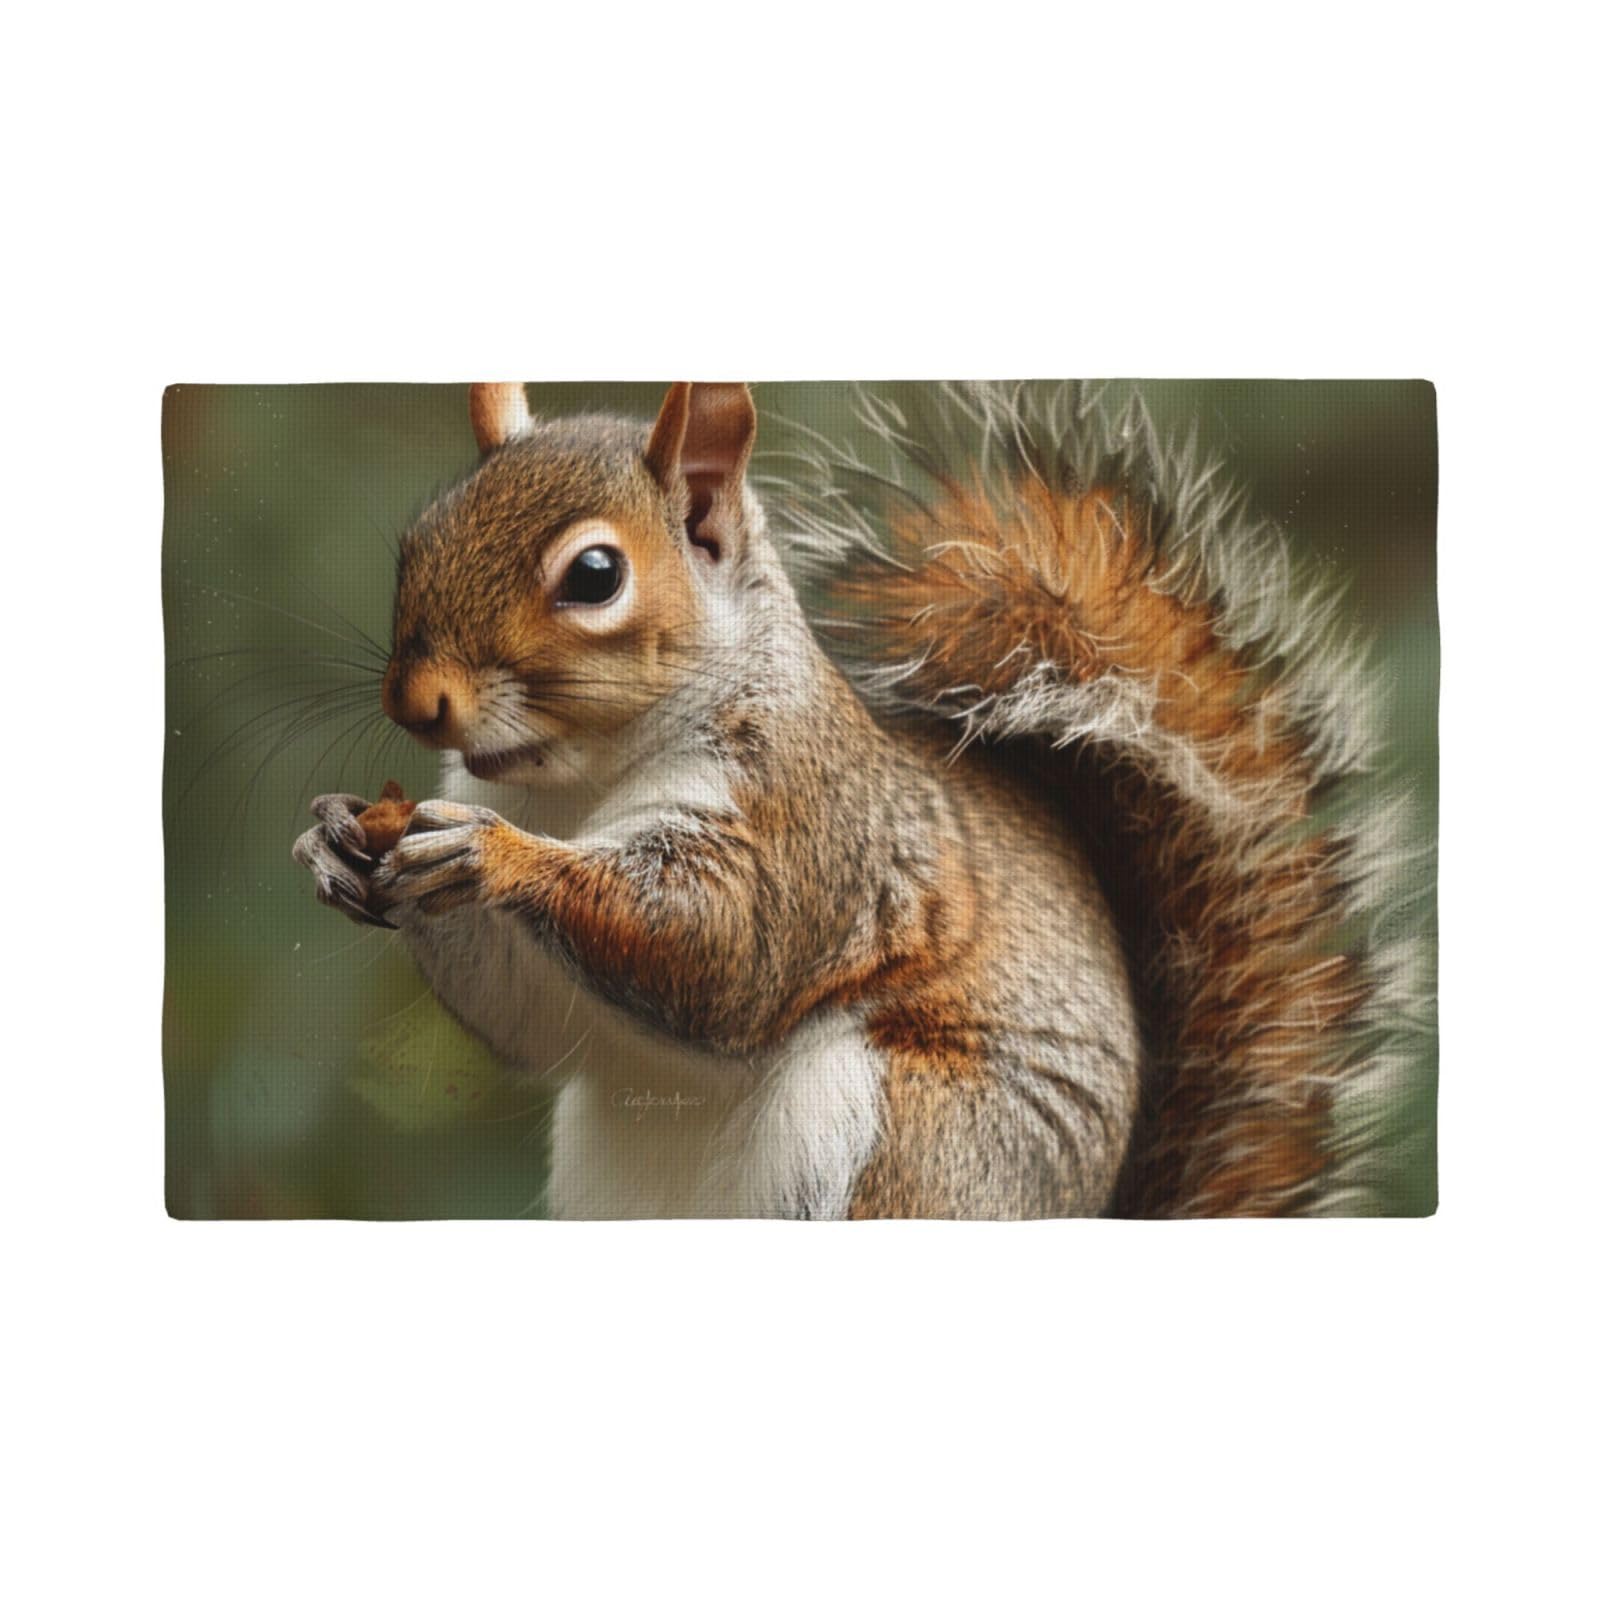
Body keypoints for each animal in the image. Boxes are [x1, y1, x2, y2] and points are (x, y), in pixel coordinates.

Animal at [291, 380, 1428, 1218]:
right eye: (419, 538)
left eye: (596, 575)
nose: (415, 701)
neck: (577, 783)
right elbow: (535, 1024)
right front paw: (339, 840)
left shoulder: (809, 823)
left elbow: (725, 947)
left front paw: (492, 854)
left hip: (917, 1137)